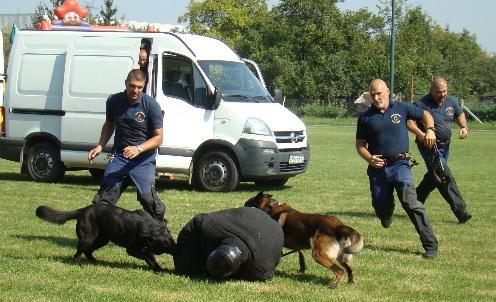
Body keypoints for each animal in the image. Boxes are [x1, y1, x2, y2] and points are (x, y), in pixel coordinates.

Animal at [35, 203, 174, 272]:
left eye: (172, 241)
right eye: (165, 246)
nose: (176, 248)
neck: (151, 228)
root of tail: (81, 210)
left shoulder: (143, 247)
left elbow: (150, 257)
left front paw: (159, 269)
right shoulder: (132, 250)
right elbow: (147, 256)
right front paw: (157, 269)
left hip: (102, 239)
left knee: (88, 251)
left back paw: (96, 262)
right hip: (88, 238)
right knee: (78, 253)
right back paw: (78, 264)